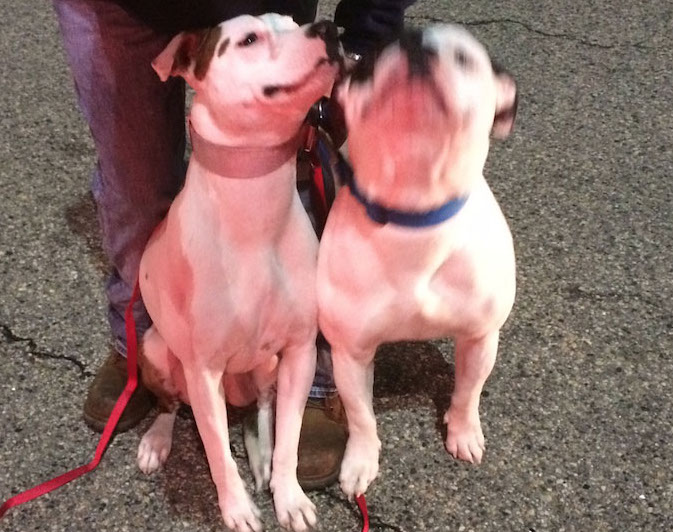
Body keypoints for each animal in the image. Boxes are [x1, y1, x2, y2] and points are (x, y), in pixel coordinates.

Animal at [136, 12, 338, 532]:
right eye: (248, 39)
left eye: (295, 22)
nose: (329, 29)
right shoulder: (203, 370)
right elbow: (216, 453)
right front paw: (237, 508)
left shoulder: (300, 351)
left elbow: (290, 438)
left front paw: (288, 495)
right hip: (155, 349)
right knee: (170, 405)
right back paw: (157, 440)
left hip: (266, 368)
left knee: (263, 408)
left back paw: (261, 456)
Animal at [316, 25, 520, 498]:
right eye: (370, 59)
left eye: (464, 58)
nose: (414, 42)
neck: (414, 212)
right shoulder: (351, 354)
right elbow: (361, 416)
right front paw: (361, 460)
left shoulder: (481, 337)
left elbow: (468, 392)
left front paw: (463, 431)